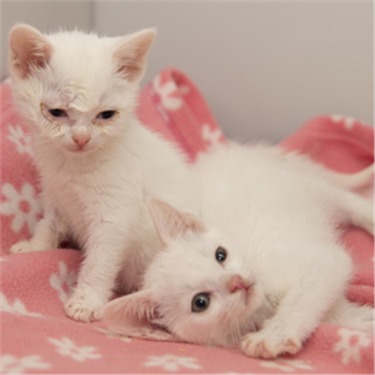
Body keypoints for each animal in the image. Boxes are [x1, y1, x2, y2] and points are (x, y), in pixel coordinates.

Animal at [7, 24, 198, 324]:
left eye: (106, 115)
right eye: (56, 112)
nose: (81, 138)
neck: (72, 165)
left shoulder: (116, 211)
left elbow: (101, 259)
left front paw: (86, 301)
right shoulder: (55, 190)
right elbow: (48, 223)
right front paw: (35, 247)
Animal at [103, 143, 374, 358]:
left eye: (220, 255)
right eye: (200, 302)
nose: (237, 282)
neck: (266, 302)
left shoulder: (325, 261)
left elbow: (303, 296)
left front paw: (273, 335)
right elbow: (340, 313)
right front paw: (366, 321)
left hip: (307, 187)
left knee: (350, 201)